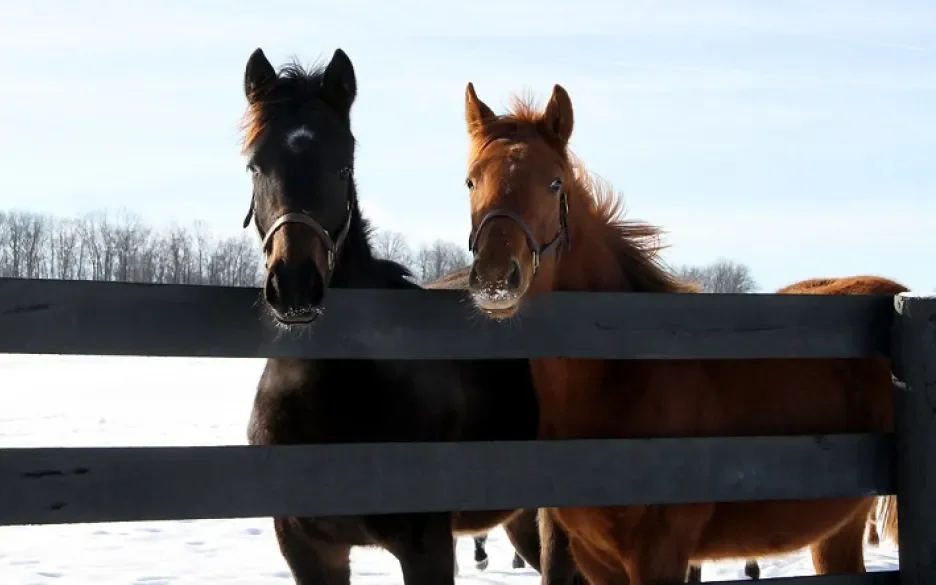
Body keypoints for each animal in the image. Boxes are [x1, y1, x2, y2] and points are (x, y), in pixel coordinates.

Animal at [460, 83, 900, 584]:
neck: (620, 376)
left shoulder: (660, 555)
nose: (496, 278)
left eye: (554, 184)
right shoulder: (596, 559)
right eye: (471, 181)